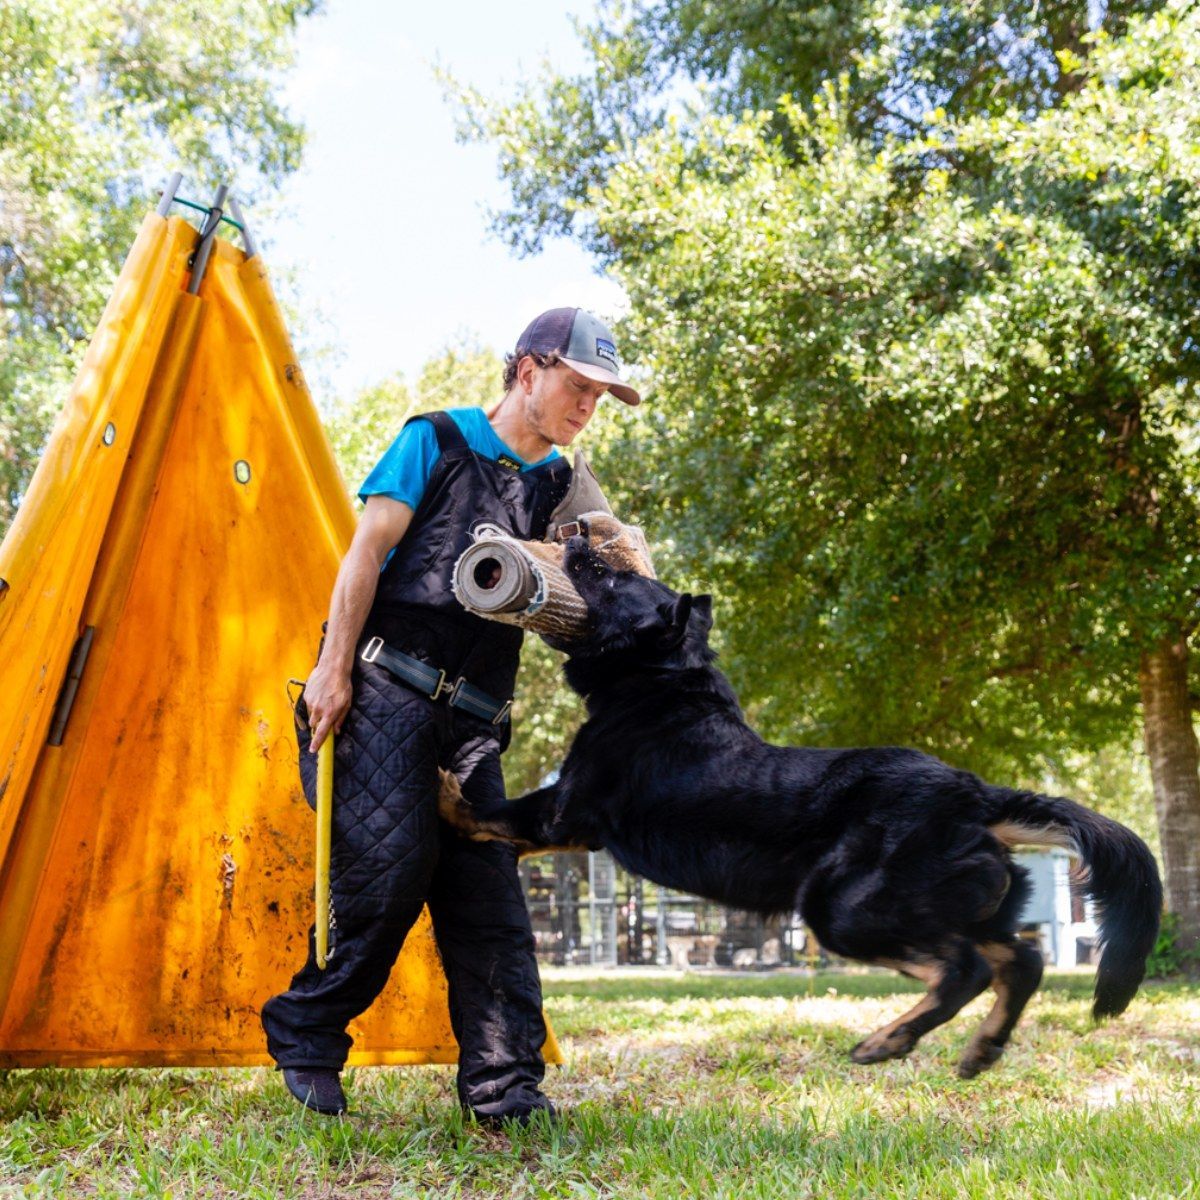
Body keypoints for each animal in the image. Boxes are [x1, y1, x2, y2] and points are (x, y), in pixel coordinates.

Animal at [441, 537, 1161, 1080]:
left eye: (611, 580)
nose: (579, 537)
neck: (660, 679)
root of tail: (975, 793)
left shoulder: (566, 811)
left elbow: (490, 812)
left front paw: (449, 792)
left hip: (844, 908)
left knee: (967, 968)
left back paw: (888, 1040)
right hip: (960, 904)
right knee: (1022, 961)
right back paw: (981, 1048)